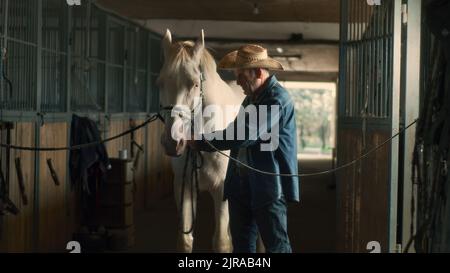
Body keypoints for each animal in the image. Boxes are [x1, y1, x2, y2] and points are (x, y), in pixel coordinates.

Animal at [157, 28, 244, 252]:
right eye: (160, 83)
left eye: (195, 84)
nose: (172, 142)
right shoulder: (184, 187)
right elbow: (185, 240)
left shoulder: (222, 189)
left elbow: (222, 242)